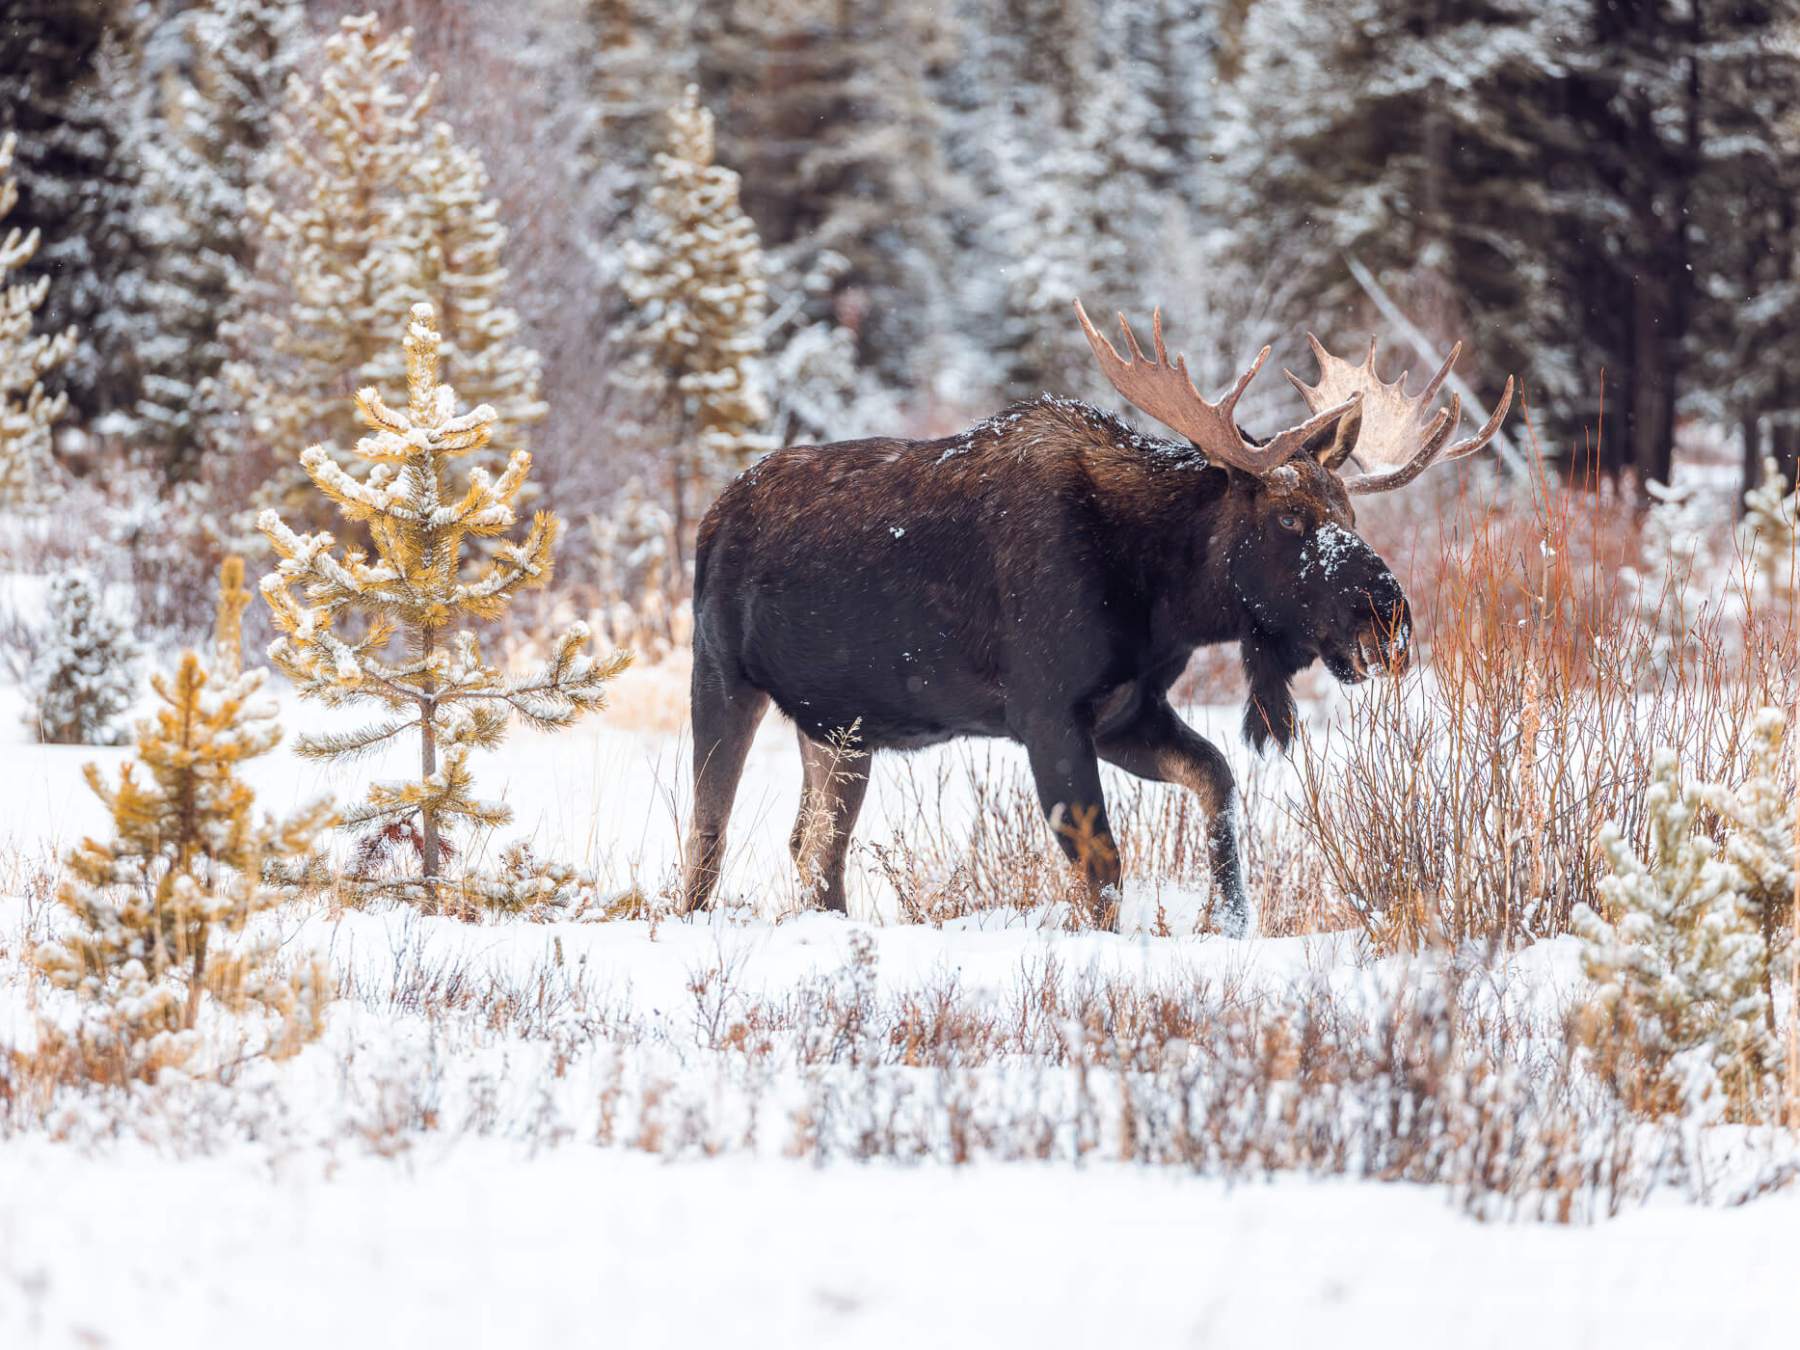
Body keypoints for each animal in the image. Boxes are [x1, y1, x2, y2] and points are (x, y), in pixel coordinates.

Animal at [678, 301, 1514, 935]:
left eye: (1348, 512)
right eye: (1288, 518)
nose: (1390, 620)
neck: (1162, 596)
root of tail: (711, 517)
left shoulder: (1124, 710)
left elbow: (1216, 779)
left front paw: (1227, 918)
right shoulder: (1046, 713)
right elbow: (1104, 865)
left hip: (840, 728)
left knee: (815, 847)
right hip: (720, 678)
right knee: (708, 835)